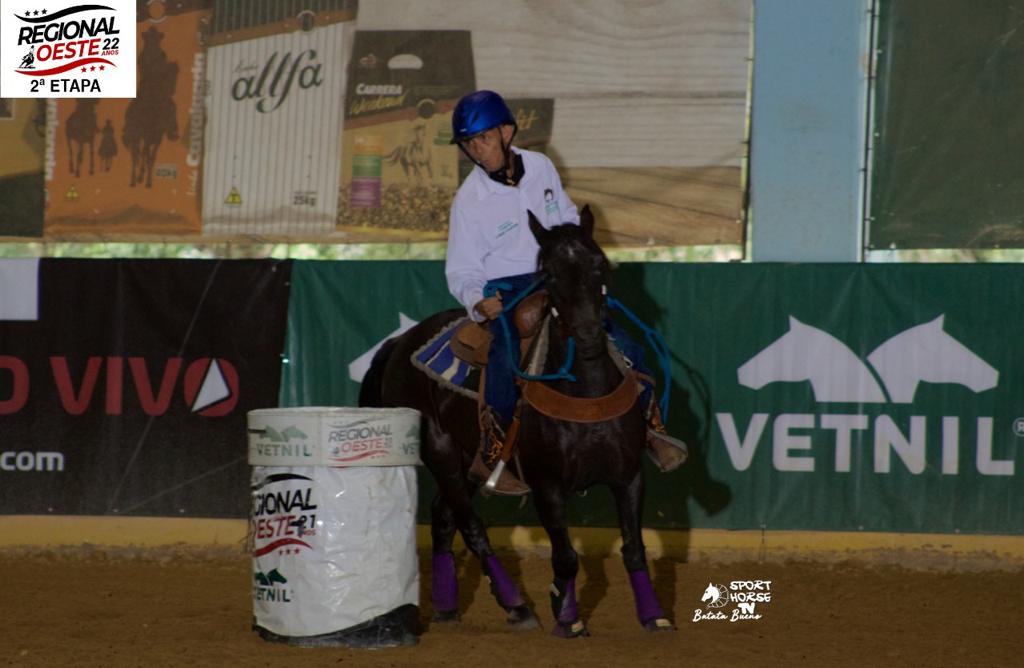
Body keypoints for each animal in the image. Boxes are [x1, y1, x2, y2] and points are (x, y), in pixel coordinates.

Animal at [360, 205, 671, 635]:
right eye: (550, 274)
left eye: (599, 265)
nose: (589, 334)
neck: (585, 389)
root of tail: (398, 344)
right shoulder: (546, 483)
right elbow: (565, 555)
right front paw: (567, 617)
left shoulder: (629, 475)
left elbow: (635, 548)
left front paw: (653, 615)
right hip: (439, 450)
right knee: (470, 526)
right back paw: (516, 606)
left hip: (473, 460)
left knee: (443, 518)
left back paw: (447, 607)